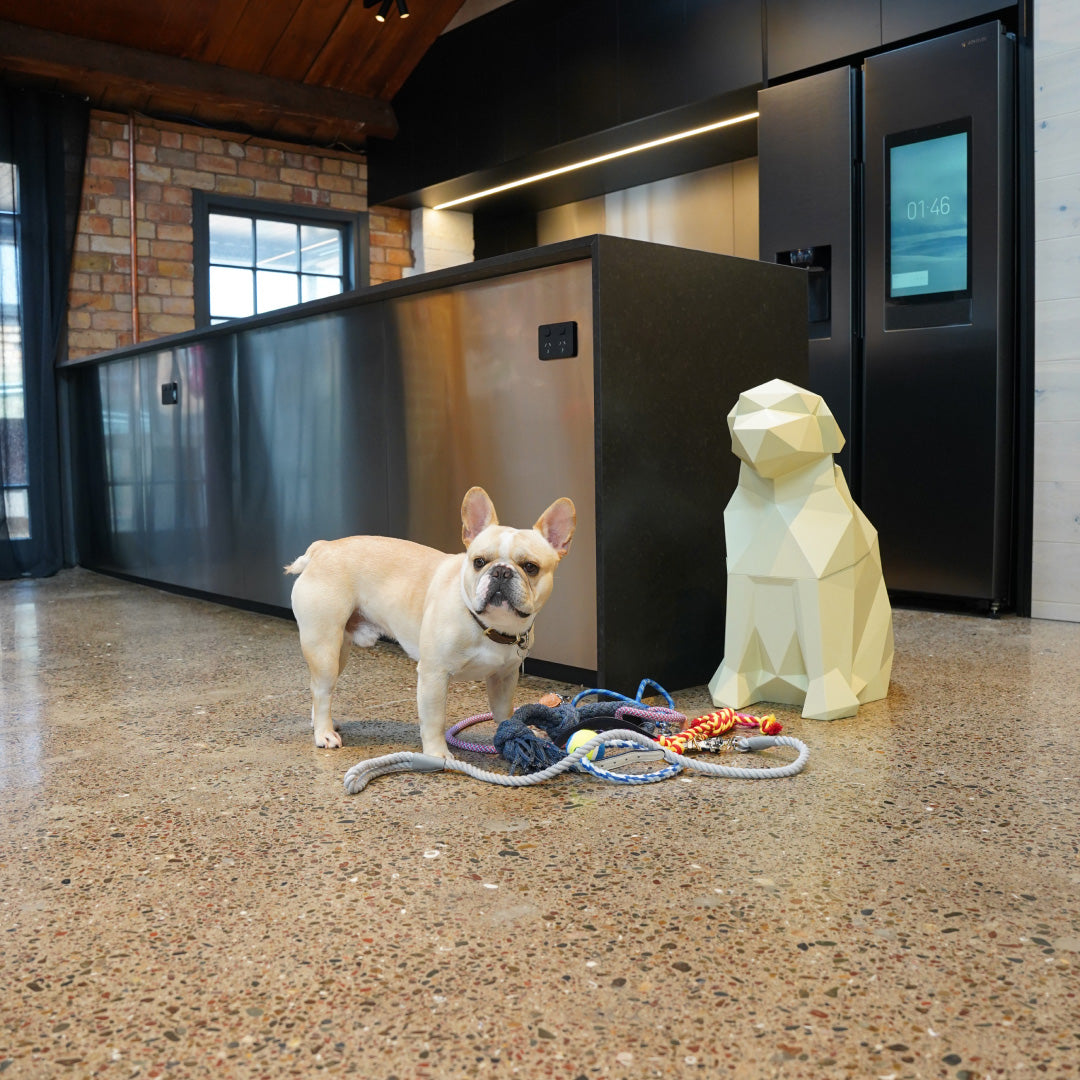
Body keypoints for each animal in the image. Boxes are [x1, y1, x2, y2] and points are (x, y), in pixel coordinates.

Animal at [285, 488, 574, 751]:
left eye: (531, 567)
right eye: (479, 562)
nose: (501, 572)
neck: (488, 625)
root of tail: (322, 548)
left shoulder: (504, 678)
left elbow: (504, 712)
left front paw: (514, 735)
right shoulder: (434, 674)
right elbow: (434, 720)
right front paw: (438, 755)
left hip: (339, 650)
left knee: (321, 688)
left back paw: (321, 724)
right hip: (323, 646)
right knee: (321, 689)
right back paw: (324, 733)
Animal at [708, 375, 894, 721]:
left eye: (790, 408)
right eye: (747, 409)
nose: (757, 432)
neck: (778, 502)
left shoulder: (818, 585)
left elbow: (824, 657)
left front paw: (828, 708)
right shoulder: (741, 580)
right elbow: (735, 654)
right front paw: (727, 696)